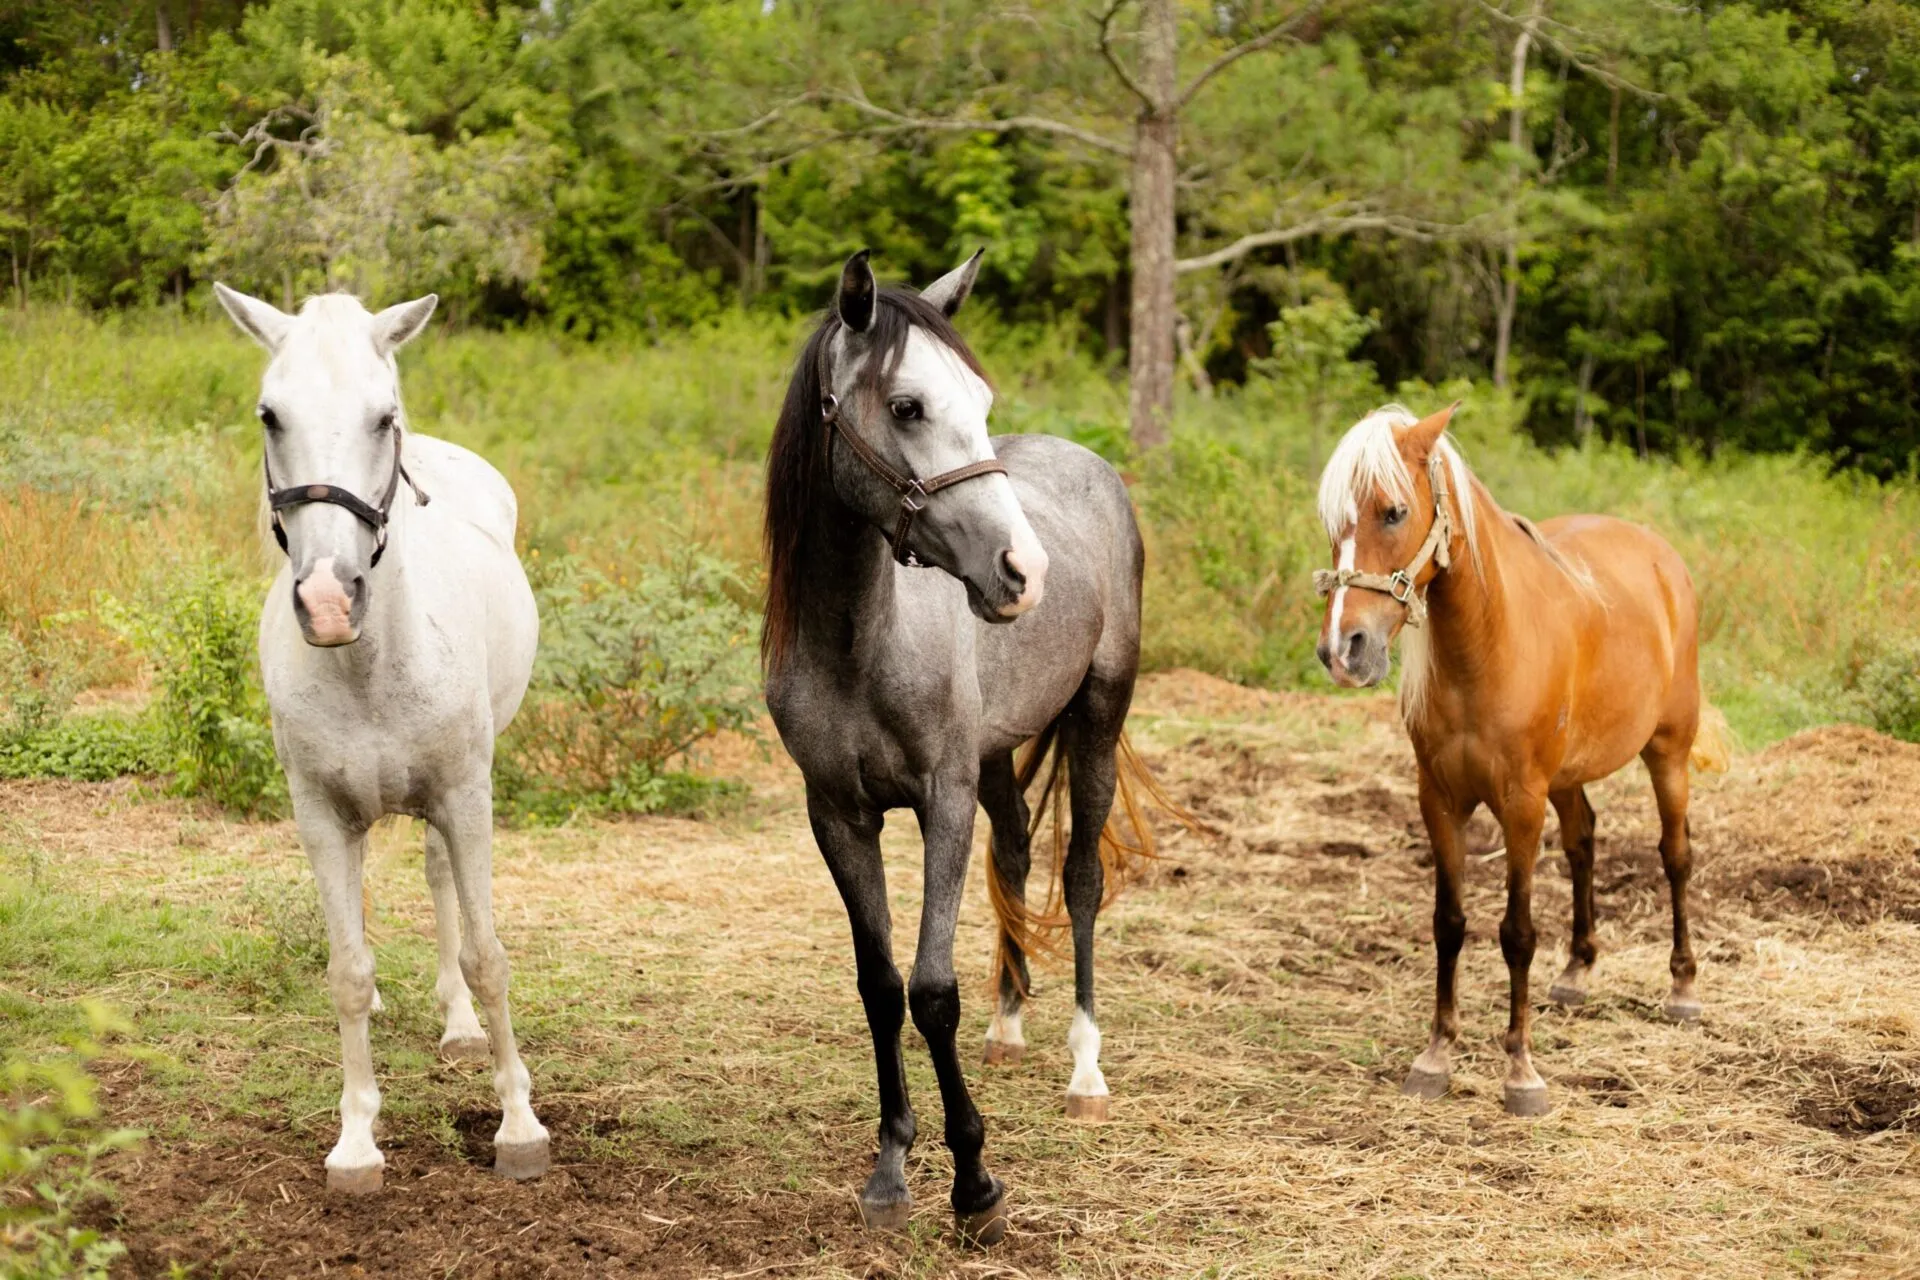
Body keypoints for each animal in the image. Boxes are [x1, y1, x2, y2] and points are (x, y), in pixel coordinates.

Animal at [213, 284, 549, 1191]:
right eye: (269, 415)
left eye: (382, 415)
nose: (329, 602)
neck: (369, 666)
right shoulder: (320, 815)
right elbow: (346, 971)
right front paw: (358, 1140)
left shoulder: (466, 798)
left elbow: (489, 956)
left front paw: (519, 1126)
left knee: (441, 884)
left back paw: (461, 1028)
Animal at [763, 250, 1153, 1244]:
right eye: (907, 406)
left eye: (979, 397)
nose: (1024, 572)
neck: (862, 641)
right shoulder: (839, 815)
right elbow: (880, 984)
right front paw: (891, 1166)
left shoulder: (941, 801)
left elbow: (932, 990)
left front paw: (975, 1181)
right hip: (997, 756)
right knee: (1015, 853)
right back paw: (1009, 1028)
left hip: (1098, 717)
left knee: (1079, 877)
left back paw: (1085, 1069)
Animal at [1313, 403, 1724, 1117]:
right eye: (1331, 519)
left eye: (1393, 512)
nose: (1343, 649)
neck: (1486, 646)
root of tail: (1662, 557)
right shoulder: (1440, 800)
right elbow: (1449, 923)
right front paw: (1436, 1055)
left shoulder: (1521, 803)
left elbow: (1517, 933)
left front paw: (1521, 1071)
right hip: (1568, 776)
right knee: (1584, 840)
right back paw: (1578, 971)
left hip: (1666, 752)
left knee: (1676, 856)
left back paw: (1682, 989)